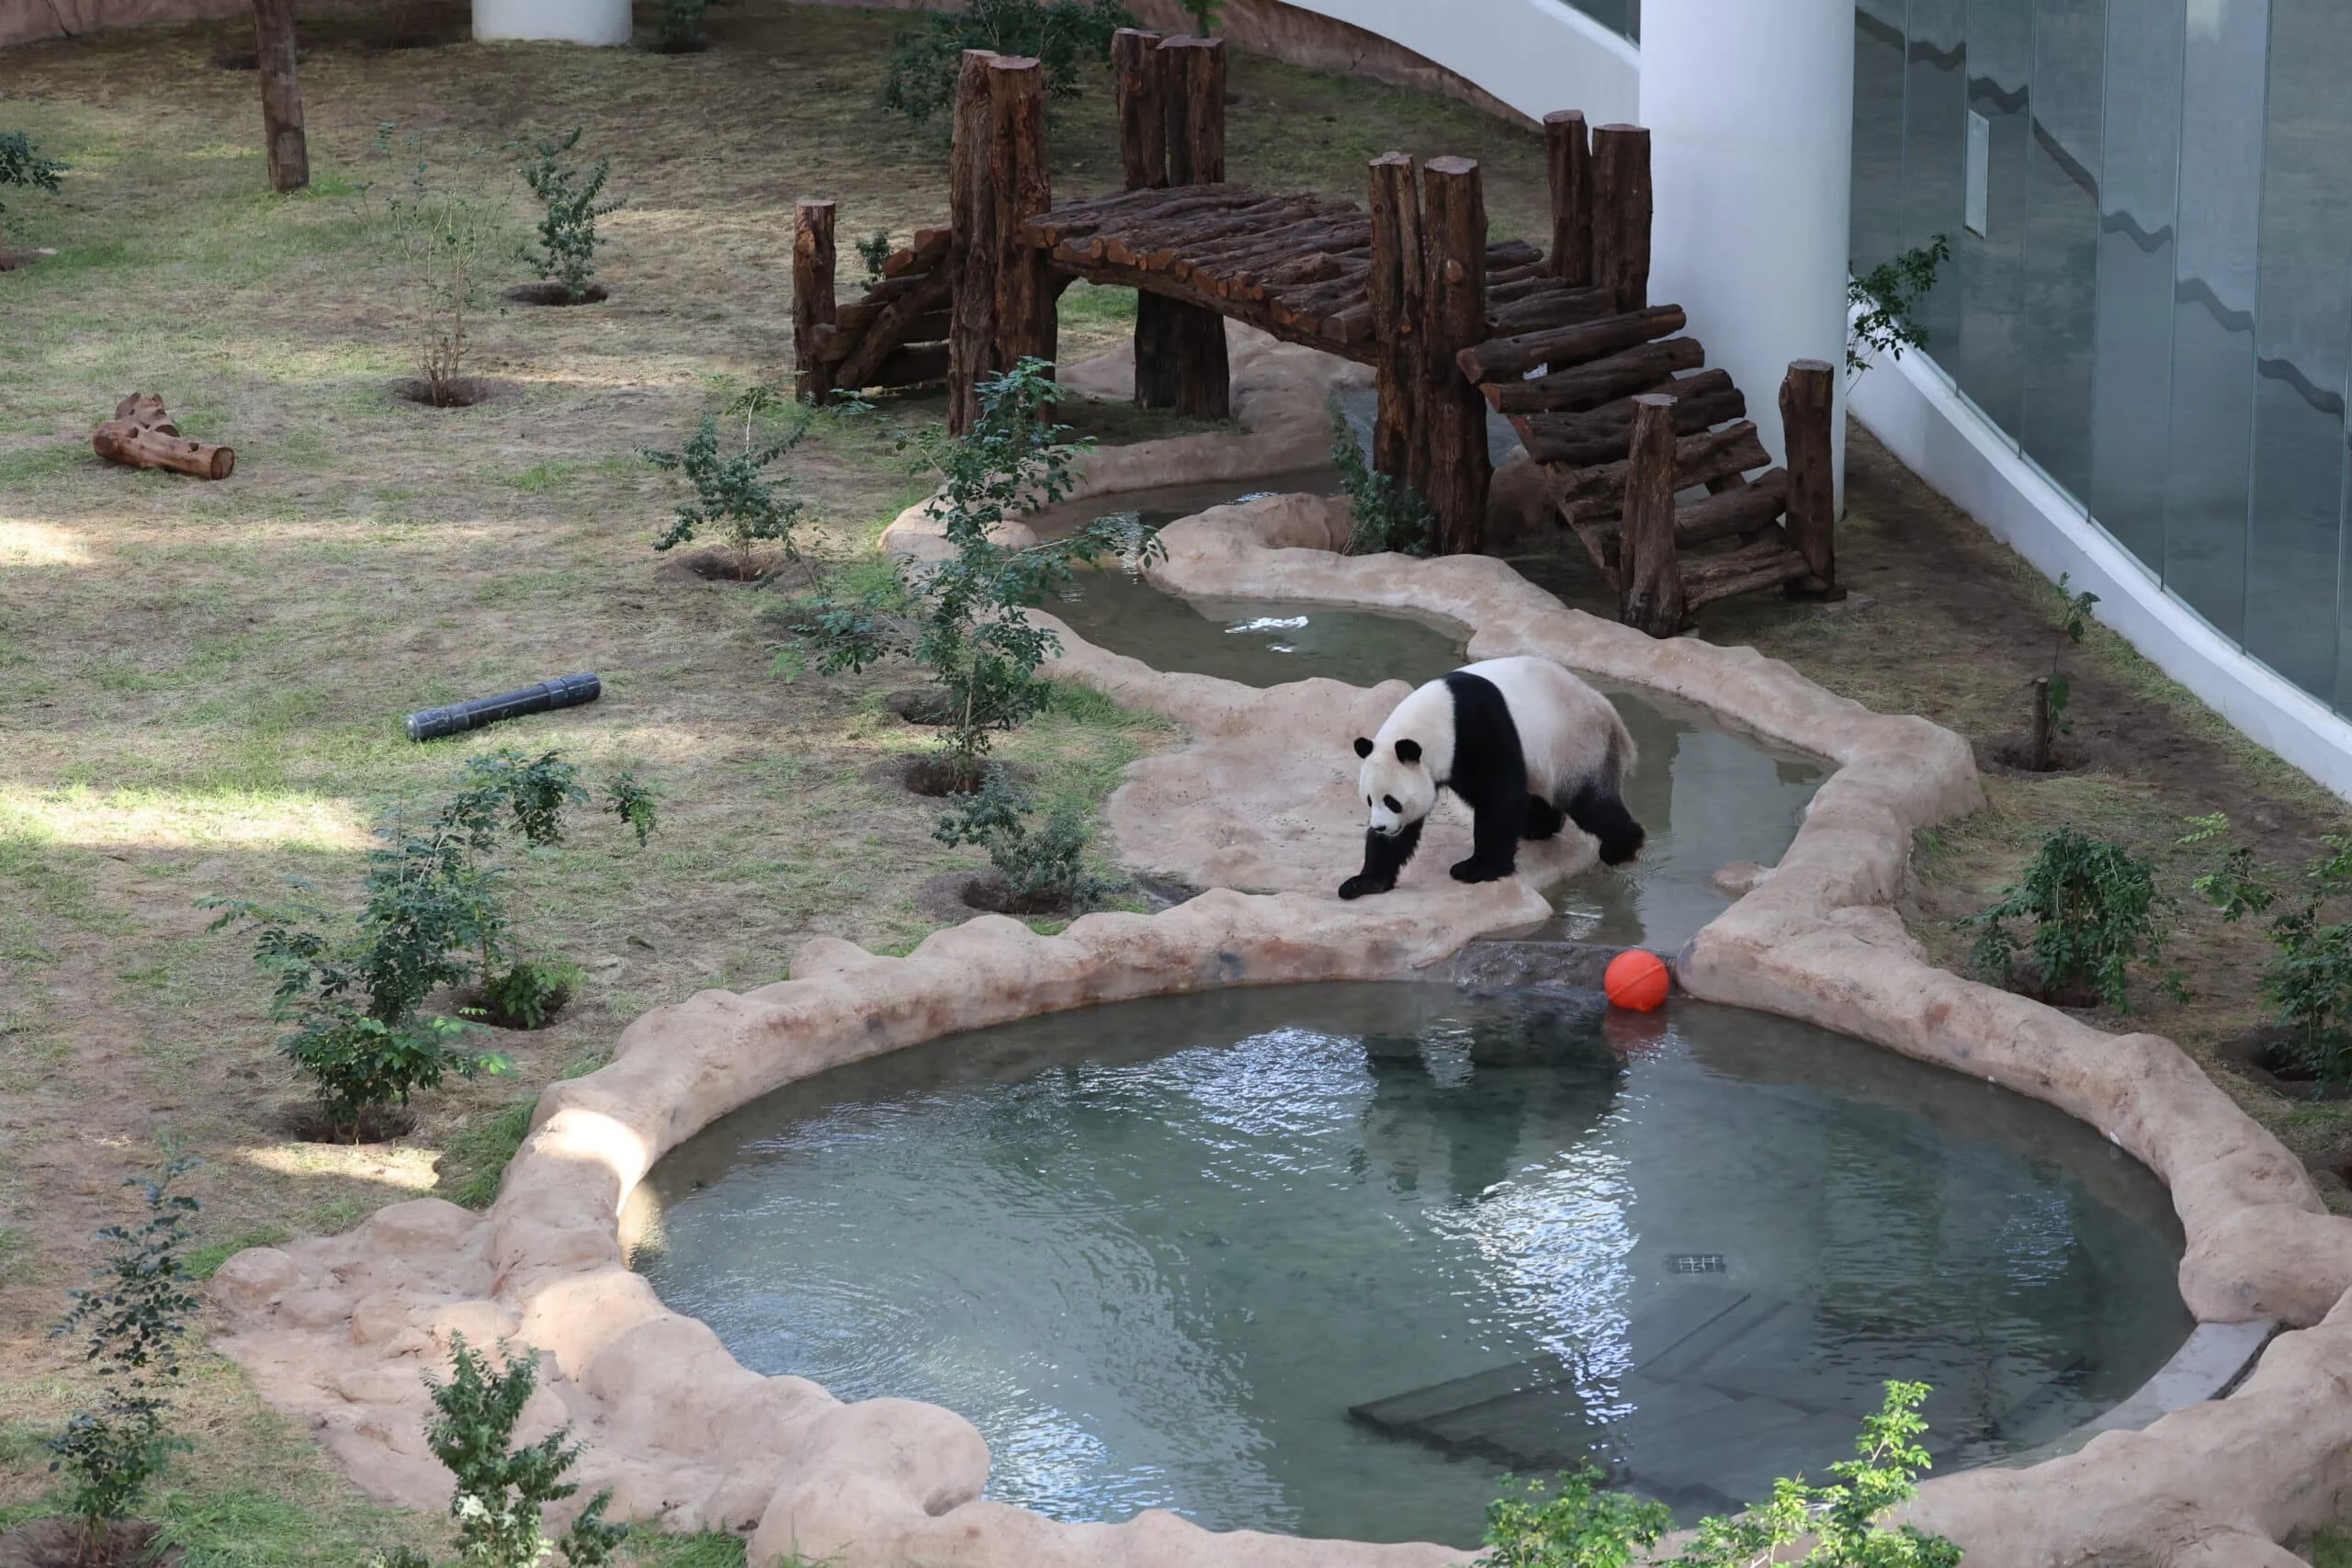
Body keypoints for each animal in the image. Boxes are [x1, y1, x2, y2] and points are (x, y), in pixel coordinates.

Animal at [1337, 656, 1645, 900]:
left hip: (1577, 747)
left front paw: (1476, 869)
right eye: (1370, 800)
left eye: (1393, 801)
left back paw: (1621, 847)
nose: (1380, 828)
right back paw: (1536, 827)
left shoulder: (1478, 728)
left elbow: (1499, 798)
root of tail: (1611, 715)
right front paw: (1364, 882)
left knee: (1590, 804)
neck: (1440, 716)